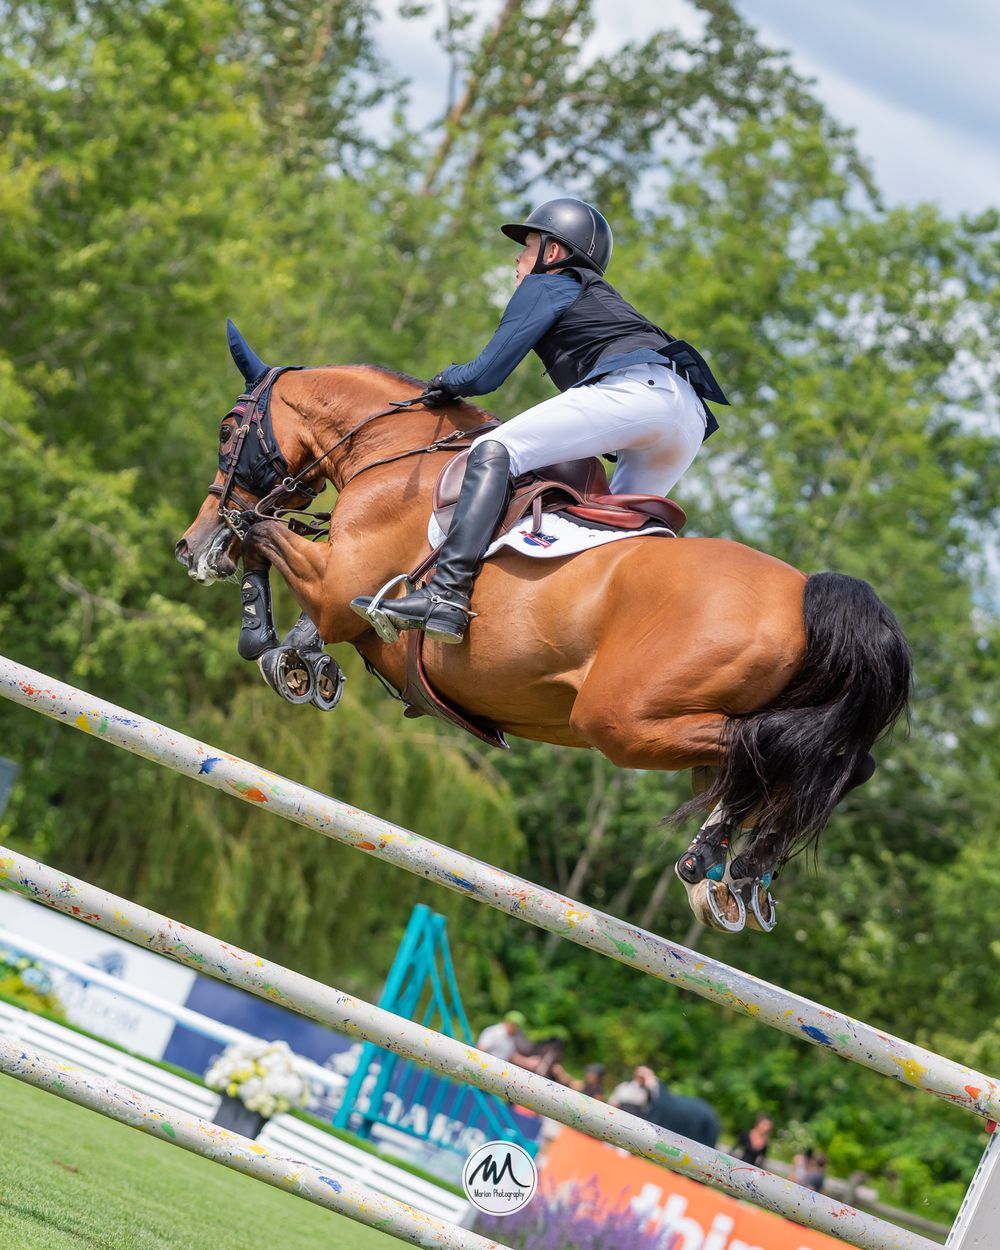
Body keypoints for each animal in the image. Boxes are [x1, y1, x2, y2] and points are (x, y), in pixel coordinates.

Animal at [175, 326, 912, 935]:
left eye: (228, 430)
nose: (188, 545)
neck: (394, 454)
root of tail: (806, 594)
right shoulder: (339, 592)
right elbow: (289, 572)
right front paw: (302, 661)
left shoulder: (336, 585)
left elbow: (260, 532)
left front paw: (256, 625)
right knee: (826, 762)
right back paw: (734, 871)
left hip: (620, 718)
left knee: (772, 753)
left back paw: (728, 862)